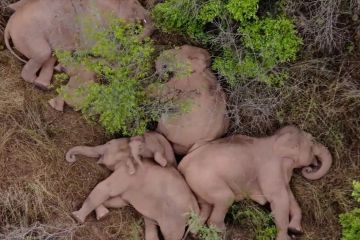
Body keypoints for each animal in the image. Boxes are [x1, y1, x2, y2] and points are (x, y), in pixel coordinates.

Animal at [3, 0, 153, 89]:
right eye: (135, 4)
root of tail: (8, 26)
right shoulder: (93, 26)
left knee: (50, 55)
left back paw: (45, 84)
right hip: (29, 35)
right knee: (44, 53)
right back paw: (37, 82)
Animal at [179, 125, 334, 240]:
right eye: (312, 142)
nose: (309, 168)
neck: (276, 139)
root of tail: (183, 163)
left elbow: (290, 198)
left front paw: (295, 229)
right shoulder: (270, 169)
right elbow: (279, 199)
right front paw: (285, 236)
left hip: (198, 183)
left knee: (205, 207)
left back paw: (196, 233)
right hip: (205, 179)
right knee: (225, 199)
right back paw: (221, 232)